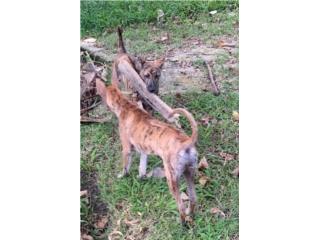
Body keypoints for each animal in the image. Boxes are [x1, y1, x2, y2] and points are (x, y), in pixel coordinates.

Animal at [96, 79, 199, 223]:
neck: (125, 106)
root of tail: (186, 142)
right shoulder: (143, 152)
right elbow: (142, 168)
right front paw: (141, 177)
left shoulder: (126, 149)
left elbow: (125, 167)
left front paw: (122, 176)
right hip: (189, 173)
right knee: (193, 198)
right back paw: (191, 214)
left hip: (172, 179)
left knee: (181, 206)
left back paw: (182, 222)